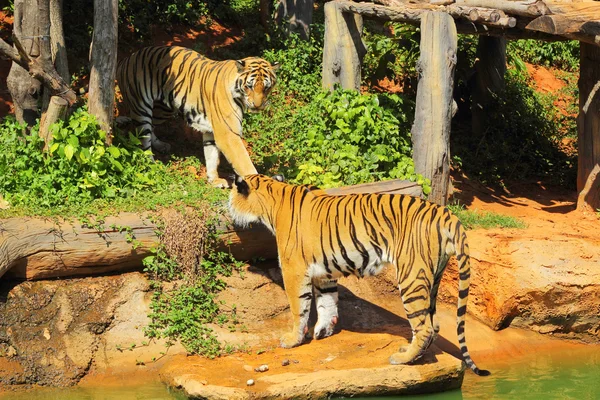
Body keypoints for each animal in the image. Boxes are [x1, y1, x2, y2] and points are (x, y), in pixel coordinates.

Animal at [116, 45, 280, 188]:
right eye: (249, 86)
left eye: (266, 87)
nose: (257, 105)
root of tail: (127, 58)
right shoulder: (228, 134)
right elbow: (244, 163)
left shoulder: (211, 131)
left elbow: (211, 156)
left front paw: (214, 180)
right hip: (141, 107)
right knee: (142, 137)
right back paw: (151, 164)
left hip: (164, 109)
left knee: (150, 128)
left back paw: (160, 145)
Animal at [227, 174, 490, 376]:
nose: (227, 209)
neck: (272, 200)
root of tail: (445, 212)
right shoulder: (324, 273)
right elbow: (327, 303)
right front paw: (324, 331)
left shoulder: (294, 270)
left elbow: (298, 307)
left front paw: (293, 339)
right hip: (433, 277)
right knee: (433, 324)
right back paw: (413, 354)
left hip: (411, 276)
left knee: (424, 326)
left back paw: (402, 359)